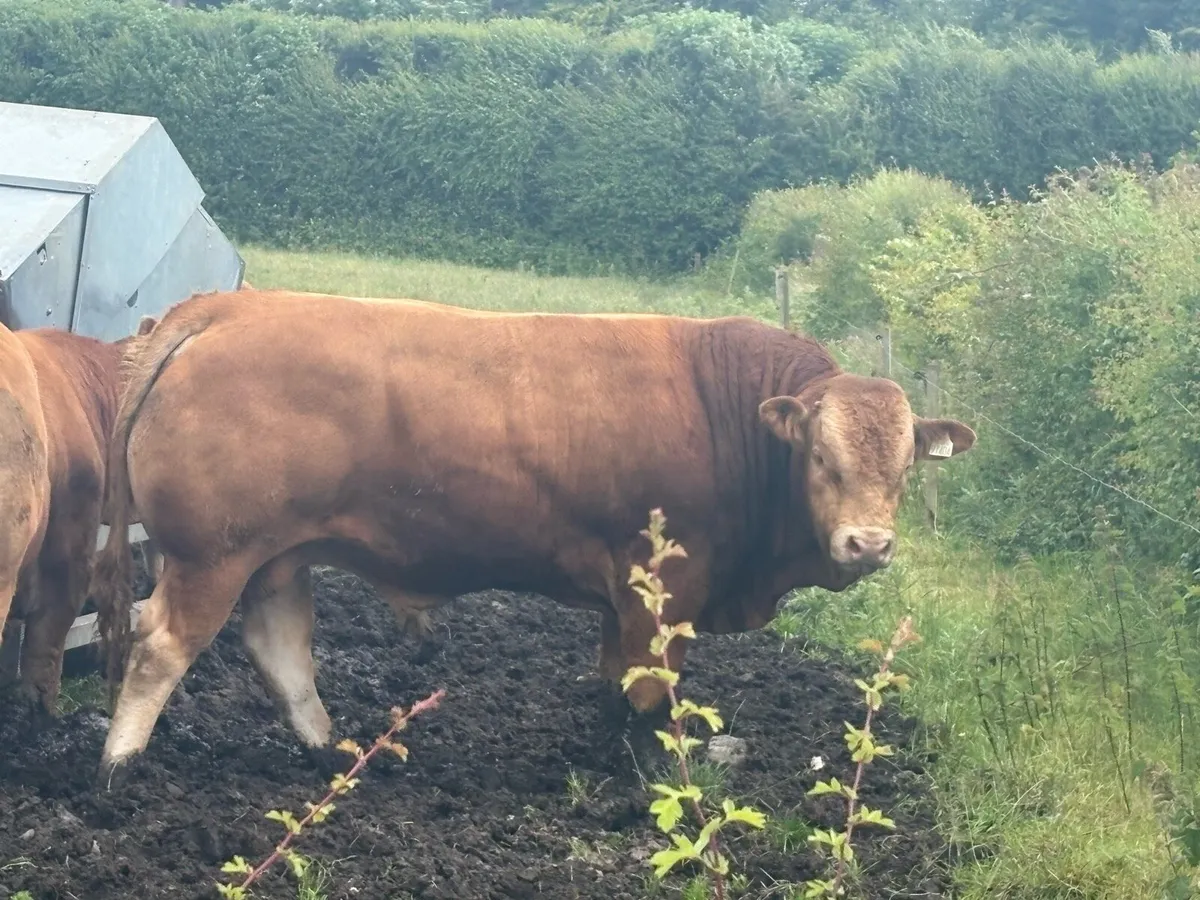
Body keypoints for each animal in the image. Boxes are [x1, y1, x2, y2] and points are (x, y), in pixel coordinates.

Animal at [90, 288, 976, 778]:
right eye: (822, 457)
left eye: (906, 465)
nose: (869, 544)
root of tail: (227, 306)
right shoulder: (663, 592)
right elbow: (652, 692)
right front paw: (655, 780)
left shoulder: (623, 601)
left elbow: (618, 684)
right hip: (213, 555)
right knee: (161, 645)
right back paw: (119, 767)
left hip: (275, 555)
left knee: (278, 649)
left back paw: (328, 751)